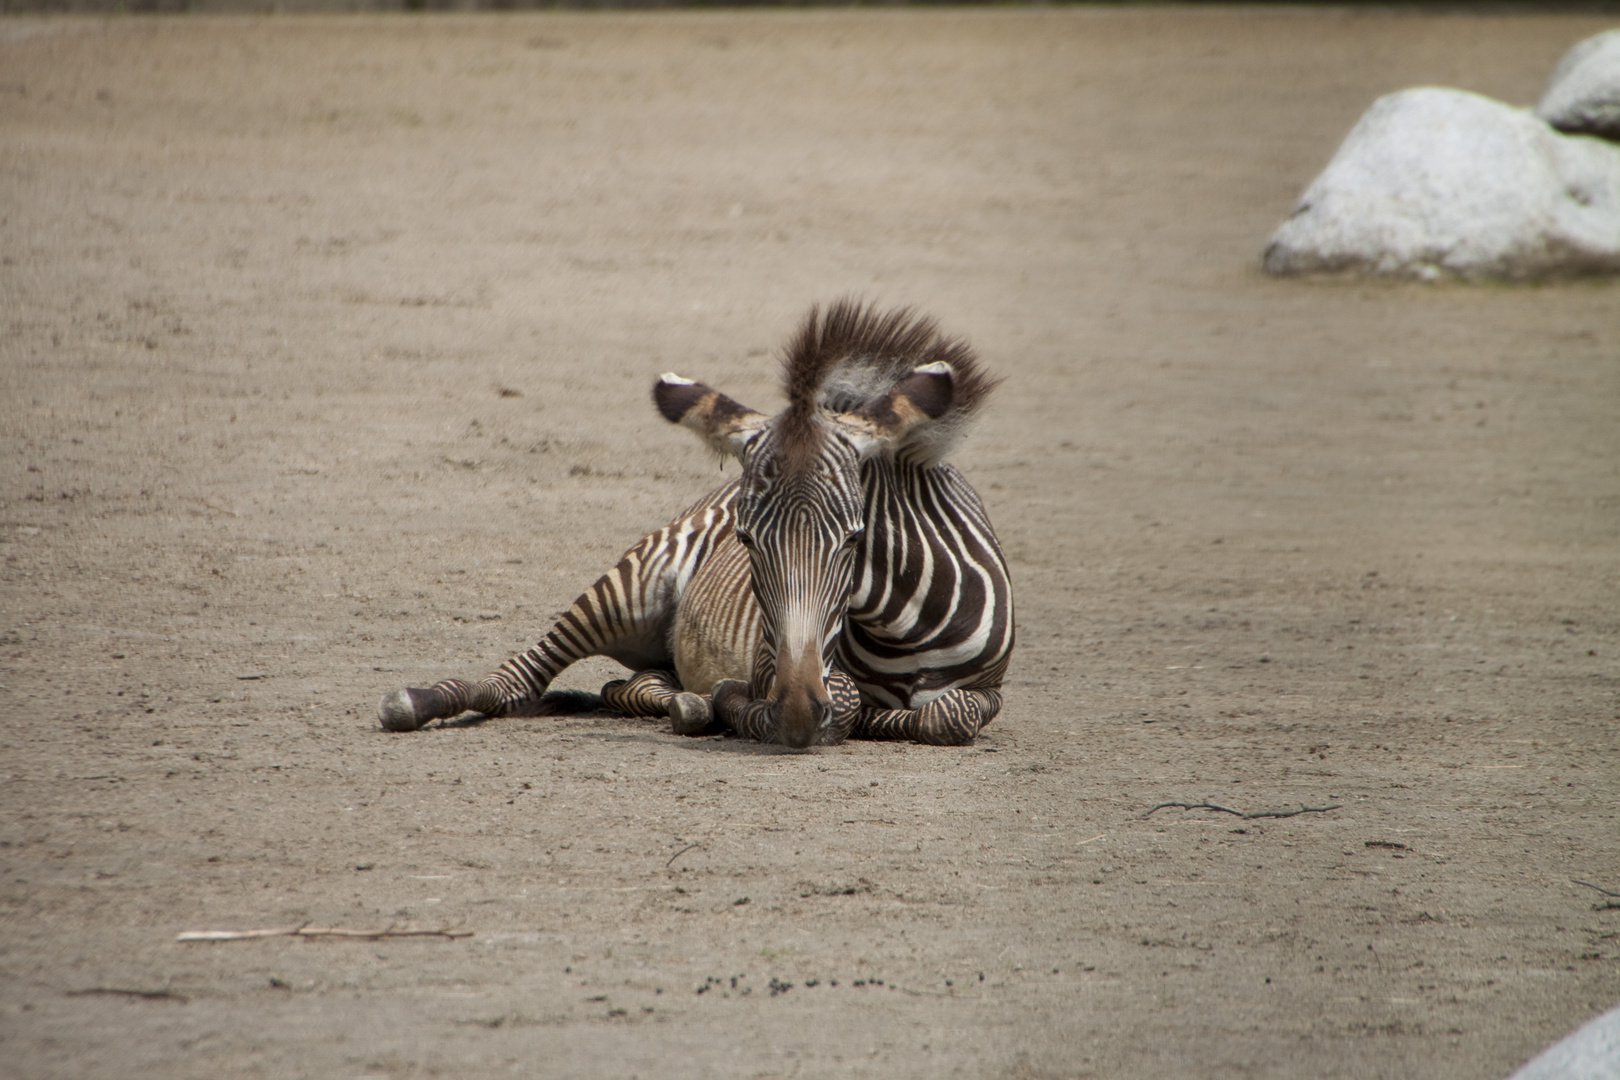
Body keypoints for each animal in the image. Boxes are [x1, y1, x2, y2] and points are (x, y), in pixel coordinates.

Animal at [379, 299, 1010, 748]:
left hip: (659, 653)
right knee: (517, 680)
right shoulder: (770, 662)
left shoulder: (990, 689)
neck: (897, 628)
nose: (796, 713)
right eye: (747, 540)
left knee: (632, 686)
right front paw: (758, 709)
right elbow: (849, 703)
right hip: (627, 589)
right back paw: (419, 702)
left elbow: (947, 716)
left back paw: (689, 704)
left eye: (855, 539)